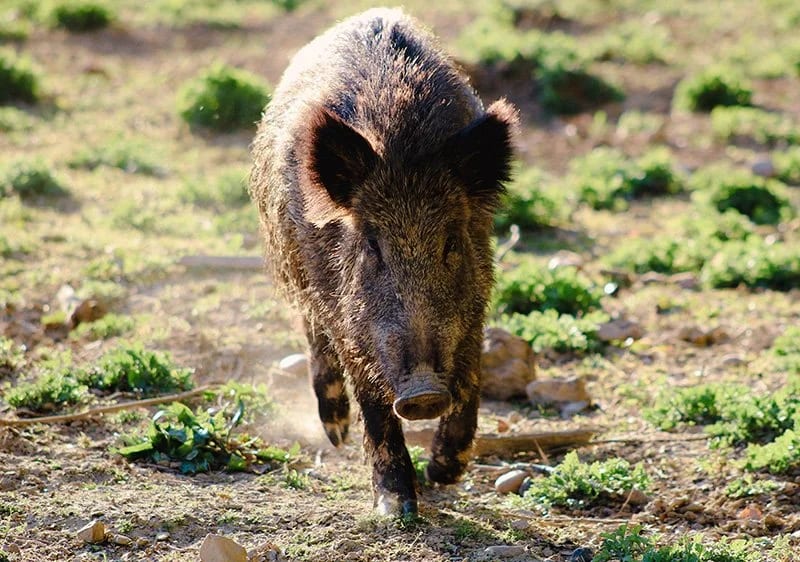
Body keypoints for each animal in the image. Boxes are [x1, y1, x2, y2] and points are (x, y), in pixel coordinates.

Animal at [249, 8, 517, 516]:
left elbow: (472, 375)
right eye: (372, 246)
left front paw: (444, 475)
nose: (424, 392)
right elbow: (371, 398)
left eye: (451, 242)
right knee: (314, 338)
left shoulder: (475, 303)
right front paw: (396, 507)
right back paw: (335, 434)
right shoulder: (349, 316)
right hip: (297, 272)